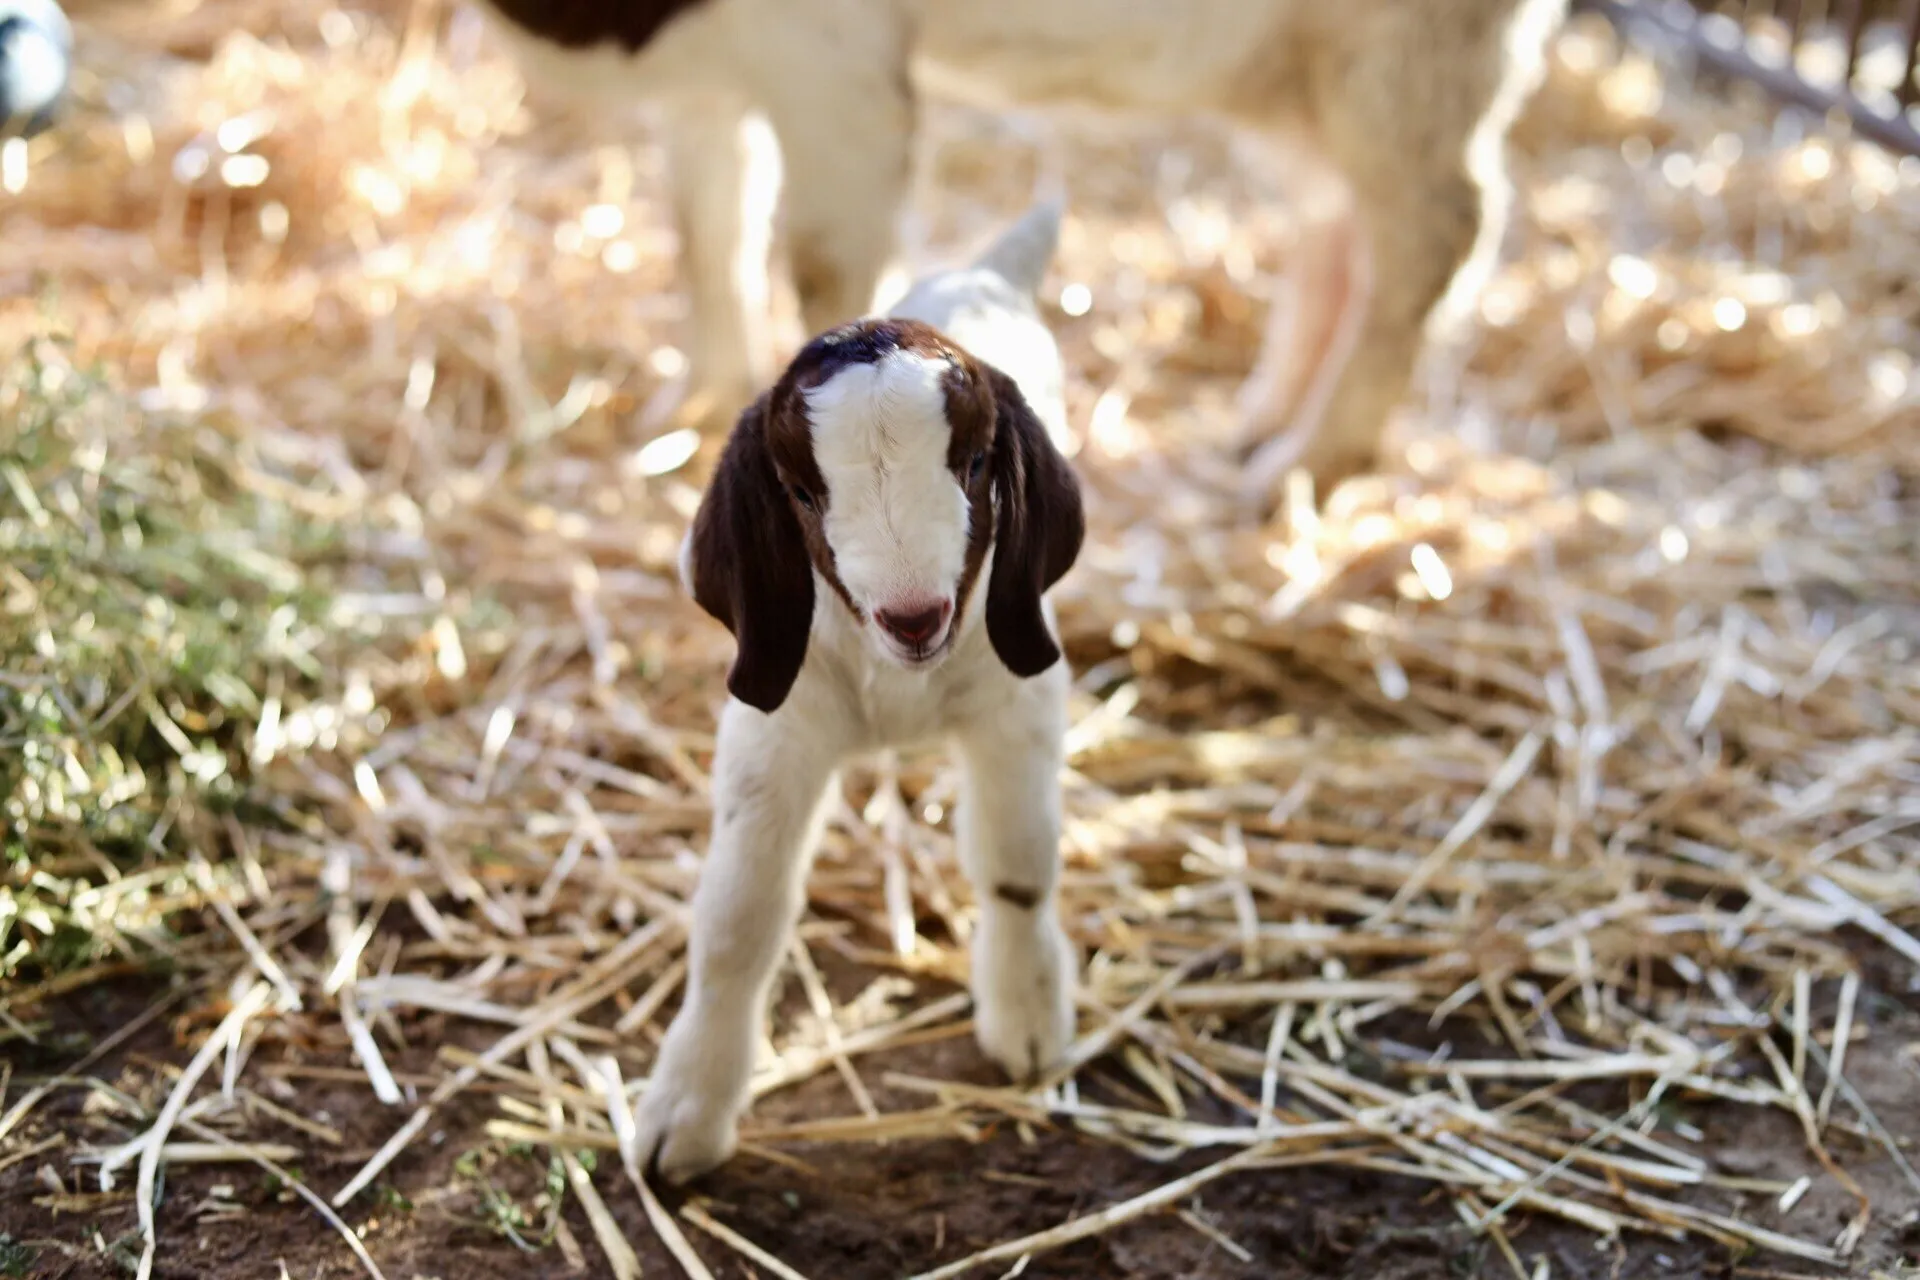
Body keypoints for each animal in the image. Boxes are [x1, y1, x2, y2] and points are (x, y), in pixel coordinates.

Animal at [474, 0, 1567, 503]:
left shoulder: (832, 60)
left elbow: (824, 264)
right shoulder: (708, 72)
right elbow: (708, 228)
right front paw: (686, 416)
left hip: (1409, 51)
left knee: (1439, 226)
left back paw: (1301, 467)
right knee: (1336, 221)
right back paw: (1260, 427)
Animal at [649, 202, 1082, 1183]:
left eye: (975, 465)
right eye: (803, 492)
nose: (915, 618)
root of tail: (983, 273)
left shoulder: (1018, 705)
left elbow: (1018, 866)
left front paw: (1029, 1020)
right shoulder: (775, 729)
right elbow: (737, 918)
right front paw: (684, 1114)